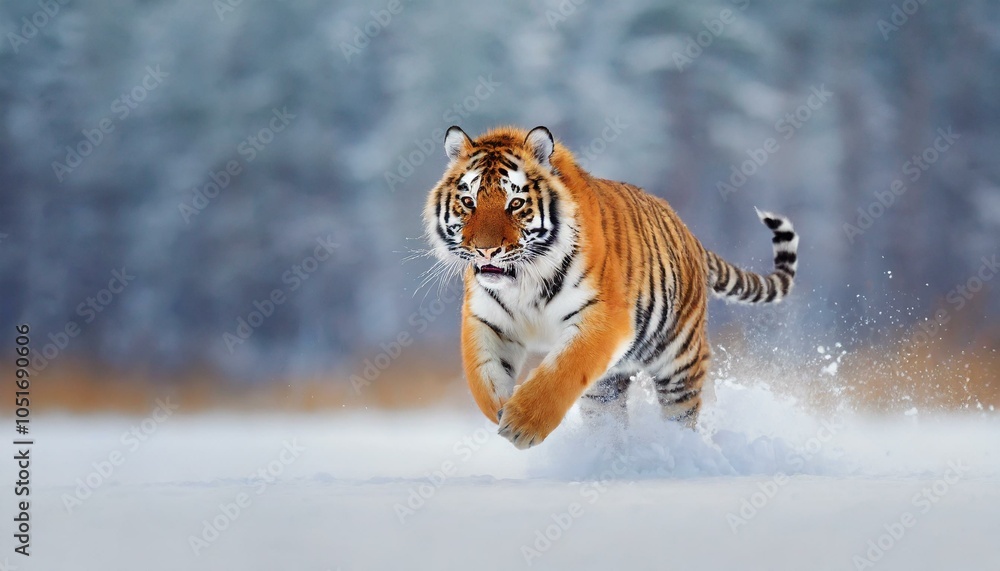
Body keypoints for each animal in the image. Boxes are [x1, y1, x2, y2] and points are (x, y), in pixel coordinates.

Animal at [423, 125, 798, 449]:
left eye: (515, 204)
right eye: (469, 202)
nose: (485, 250)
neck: (523, 279)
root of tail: (689, 233)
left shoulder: (603, 317)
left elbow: (562, 371)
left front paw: (521, 424)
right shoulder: (487, 320)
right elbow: (482, 376)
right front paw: (500, 407)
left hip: (679, 359)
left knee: (682, 412)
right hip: (605, 389)